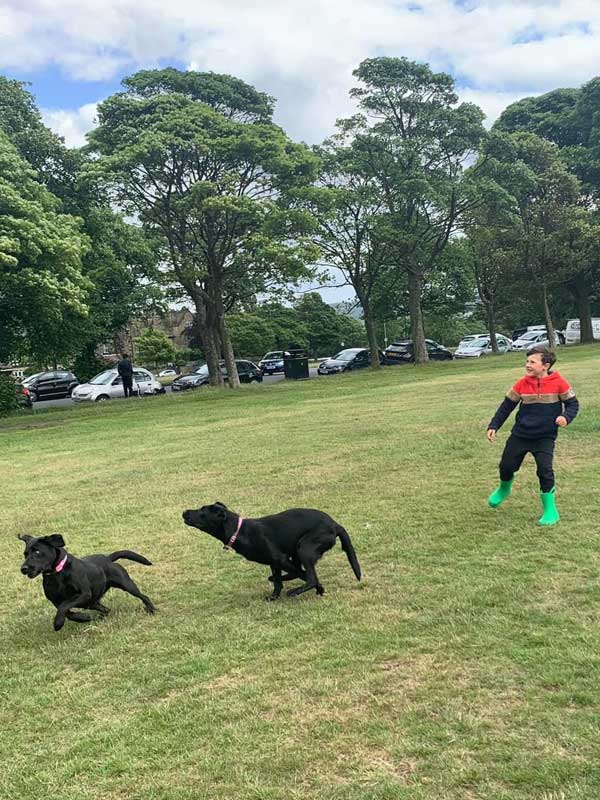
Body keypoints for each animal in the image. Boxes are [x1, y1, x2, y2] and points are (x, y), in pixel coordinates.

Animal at [19, 532, 157, 632]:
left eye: (37, 552)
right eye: (25, 554)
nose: (23, 568)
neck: (57, 573)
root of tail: (108, 558)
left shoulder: (84, 594)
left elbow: (65, 606)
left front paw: (58, 623)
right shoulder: (55, 601)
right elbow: (66, 612)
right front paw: (83, 618)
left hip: (126, 584)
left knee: (143, 596)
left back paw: (152, 609)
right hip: (92, 603)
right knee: (106, 609)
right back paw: (102, 616)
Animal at [183, 500, 360, 600]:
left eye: (202, 511)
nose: (184, 512)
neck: (239, 531)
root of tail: (335, 524)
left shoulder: (280, 558)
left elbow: (303, 575)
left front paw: (320, 588)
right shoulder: (274, 562)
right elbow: (278, 583)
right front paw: (274, 596)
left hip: (303, 547)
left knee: (310, 576)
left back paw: (295, 591)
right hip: (297, 551)